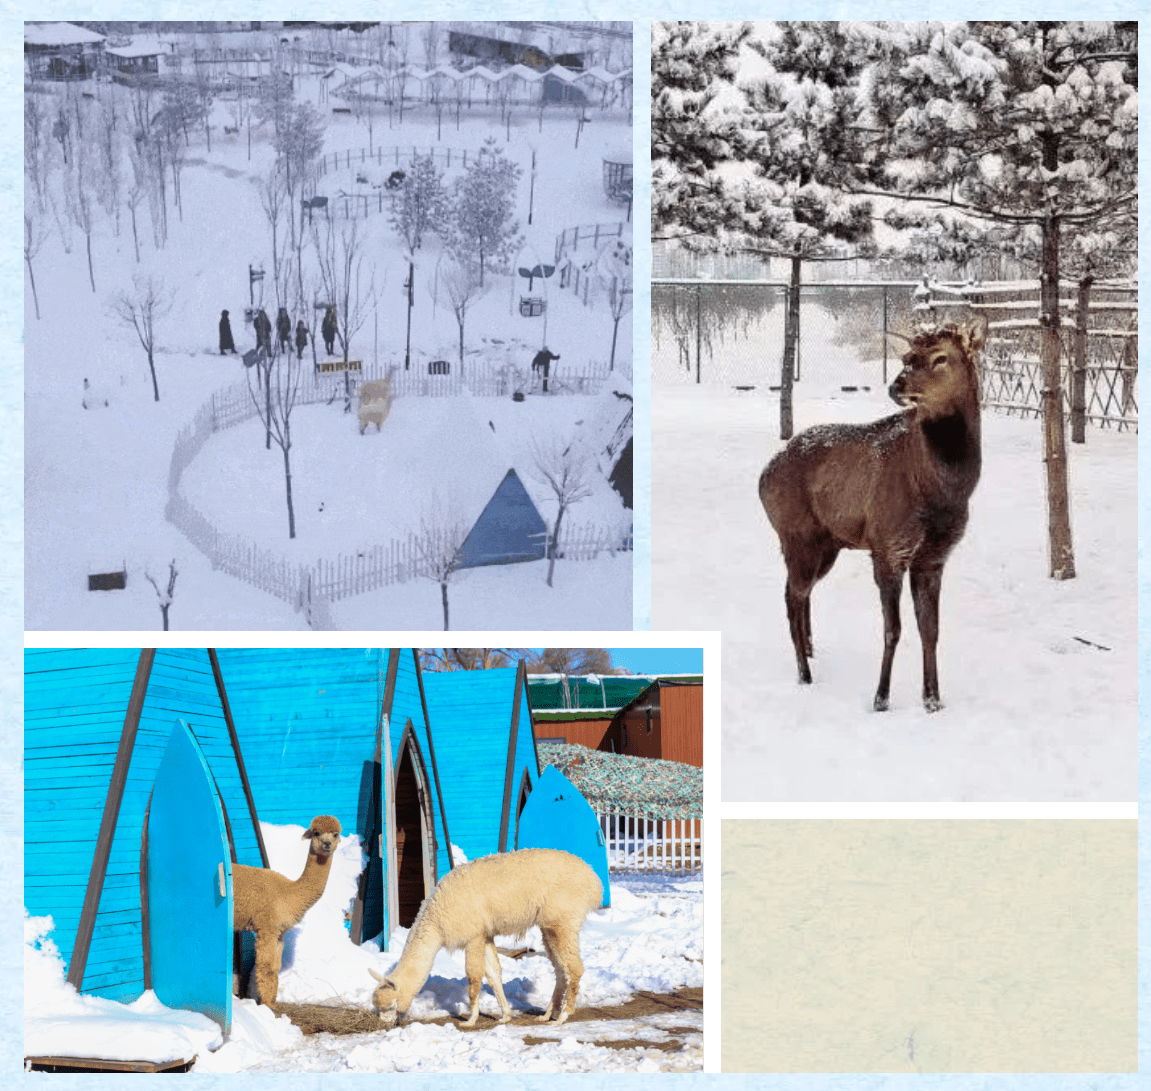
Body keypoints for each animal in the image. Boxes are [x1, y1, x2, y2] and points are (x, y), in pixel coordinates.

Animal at [755, 315, 989, 713]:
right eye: (908, 357)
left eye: (941, 358)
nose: (897, 385)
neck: (944, 493)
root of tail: (762, 477)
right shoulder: (888, 547)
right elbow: (892, 629)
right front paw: (881, 698)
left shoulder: (934, 556)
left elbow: (931, 630)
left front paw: (932, 699)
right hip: (797, 534)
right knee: (792, 596)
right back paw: (804, 674)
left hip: (827, 545)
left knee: (797, 593)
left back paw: (811, 652)